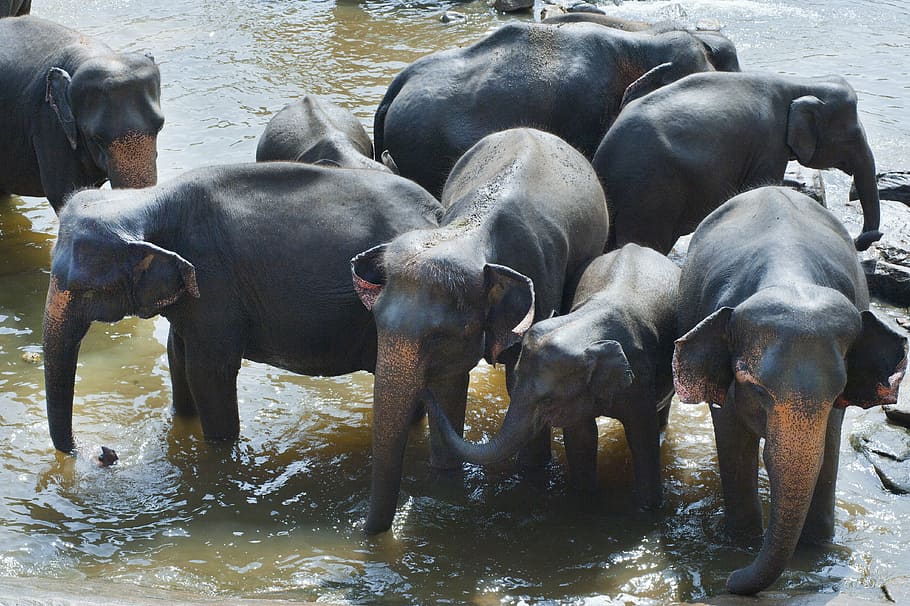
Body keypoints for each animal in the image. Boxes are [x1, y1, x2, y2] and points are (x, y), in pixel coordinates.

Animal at [43, 162, 444, 454]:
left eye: (85, 290)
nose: (103, 452)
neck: (146, 200)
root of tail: (439, 214)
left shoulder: (213, 282)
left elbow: (209, 371)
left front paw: (220, 452)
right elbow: (178, 354)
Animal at [351, 128, 609, 533]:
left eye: (438, 336)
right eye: (376, 322)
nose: (363, 530)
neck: (470, 234)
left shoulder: (541, 281)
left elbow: (518, 379)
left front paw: (532, 473)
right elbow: (450, 385)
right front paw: (445, 479)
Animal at [431, 244, 680, 509]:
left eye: (548, 401)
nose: (427, 393)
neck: (586, 323)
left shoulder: (640, 376)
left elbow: (642, 437)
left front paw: (649, 508)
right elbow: (581, 436)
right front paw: (583, 497)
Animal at [593, 71, 884, 255]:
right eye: (853, 135)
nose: (862, 238)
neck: (800, 84)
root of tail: (603, 156)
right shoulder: (769, 147)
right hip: (651, 192)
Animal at [673, 186, 907, 595]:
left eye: (839, 389)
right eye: (753, 387)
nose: (730, 580)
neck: (790, 275)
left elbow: (829, 447)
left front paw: (817, 547)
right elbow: (731, 437)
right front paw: (740, 545)